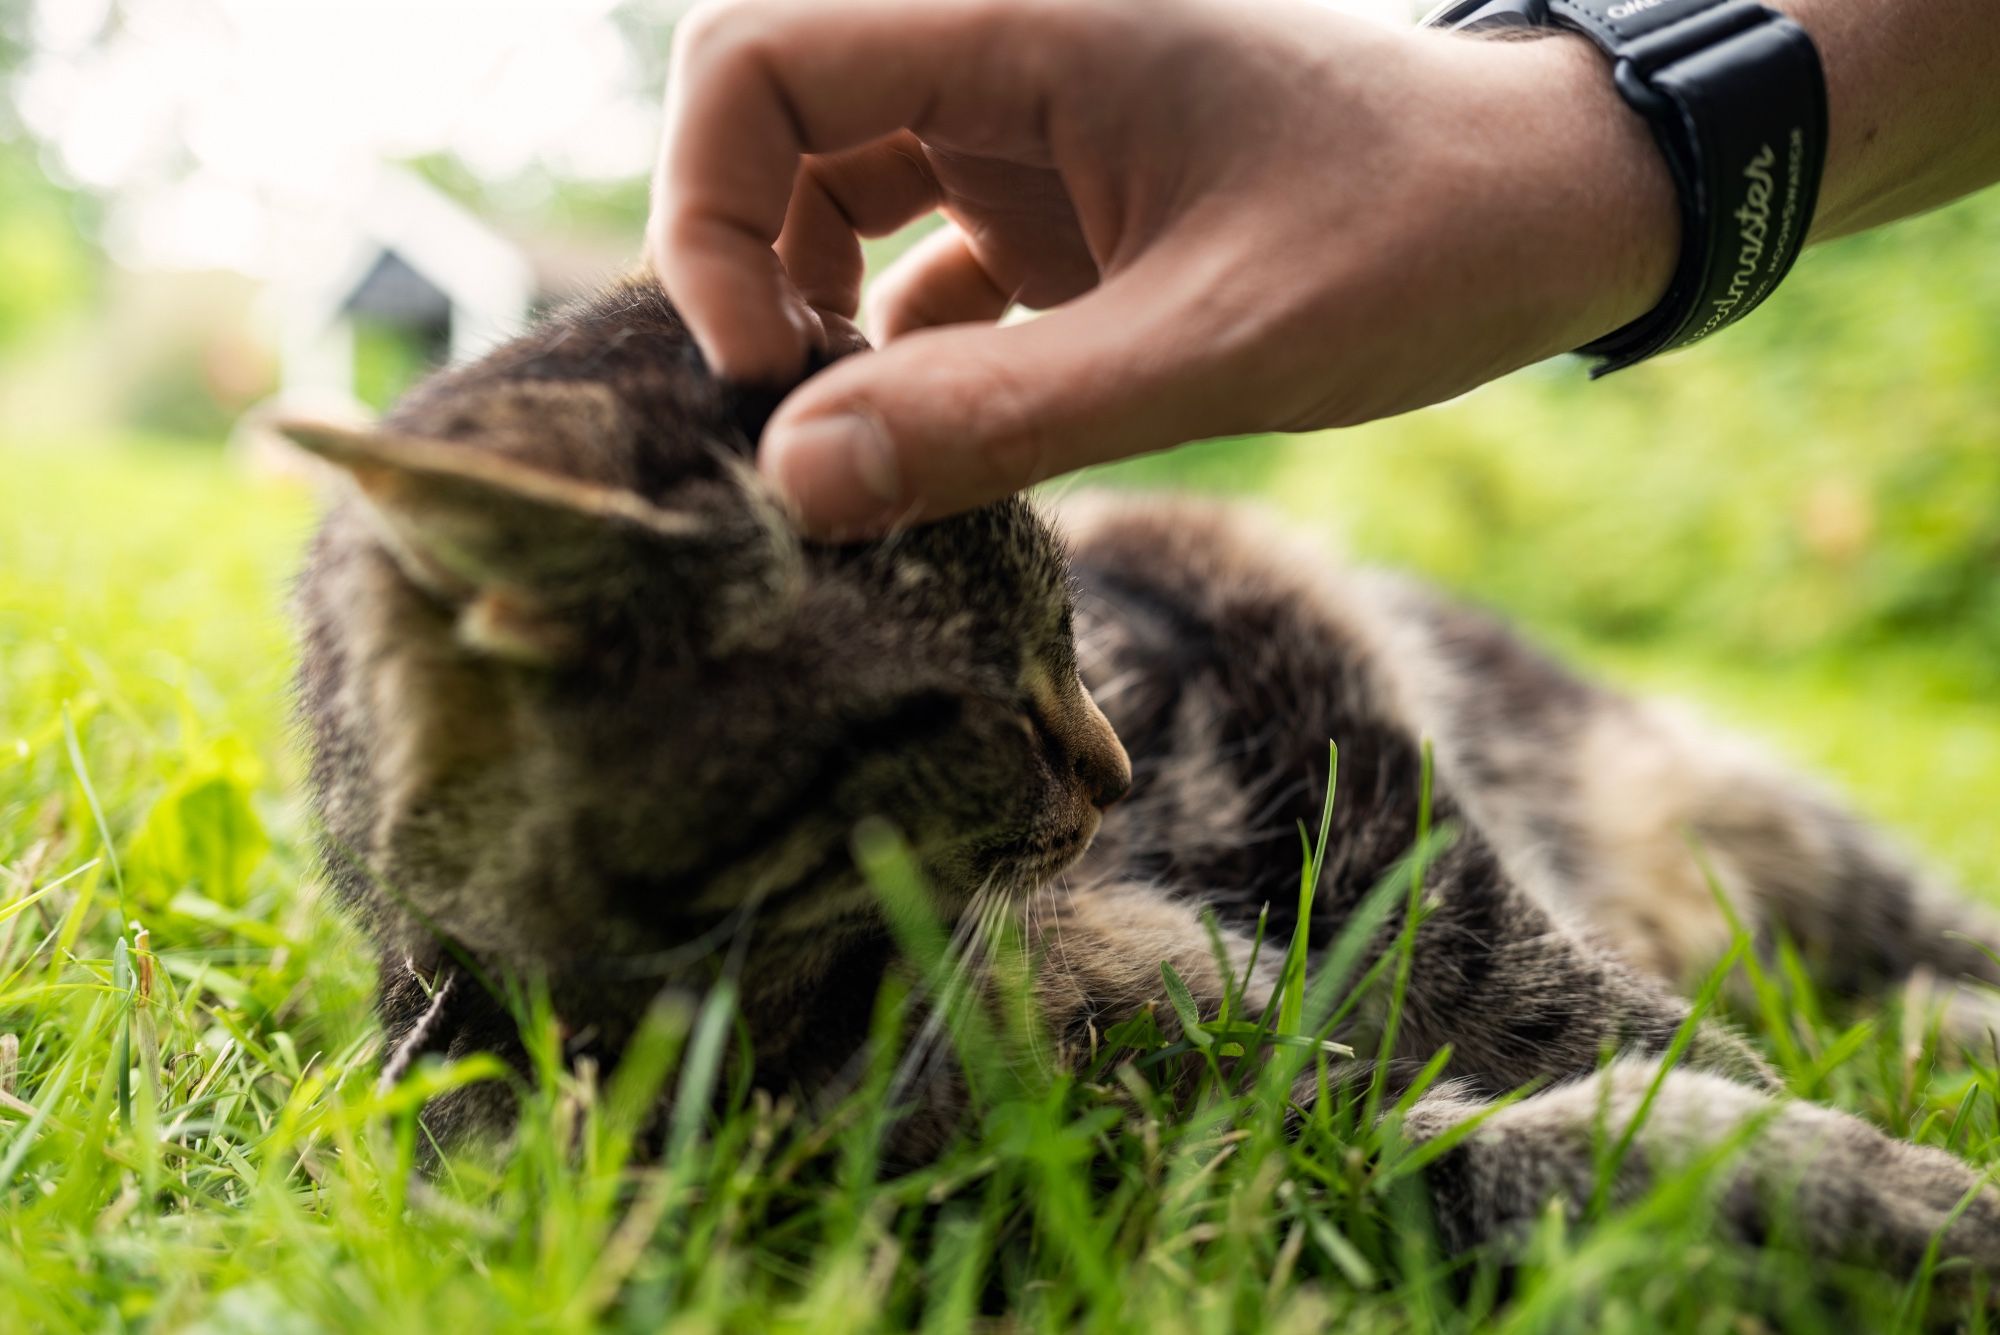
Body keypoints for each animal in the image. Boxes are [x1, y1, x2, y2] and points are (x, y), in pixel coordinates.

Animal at [290, 275, 2000, 1279]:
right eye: (975, 693)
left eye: (1072, 619)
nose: (1110, 765)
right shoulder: (1227, 1160)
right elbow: (1553, 1151)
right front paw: (1834, 1176)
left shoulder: (1284, 680)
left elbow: (1527, 973)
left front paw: (1802, 1107)